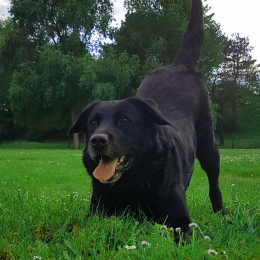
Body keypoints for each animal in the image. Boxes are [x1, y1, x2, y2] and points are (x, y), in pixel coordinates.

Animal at [68, 0, 223, 241]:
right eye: (92, 123)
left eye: (124, 119)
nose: (97, 141)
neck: (131, 182)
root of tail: (180, 65)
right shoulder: (95, 213)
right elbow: (74, 227)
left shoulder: (180, 220)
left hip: (208, 146)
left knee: (214, 182)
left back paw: (221, 213)